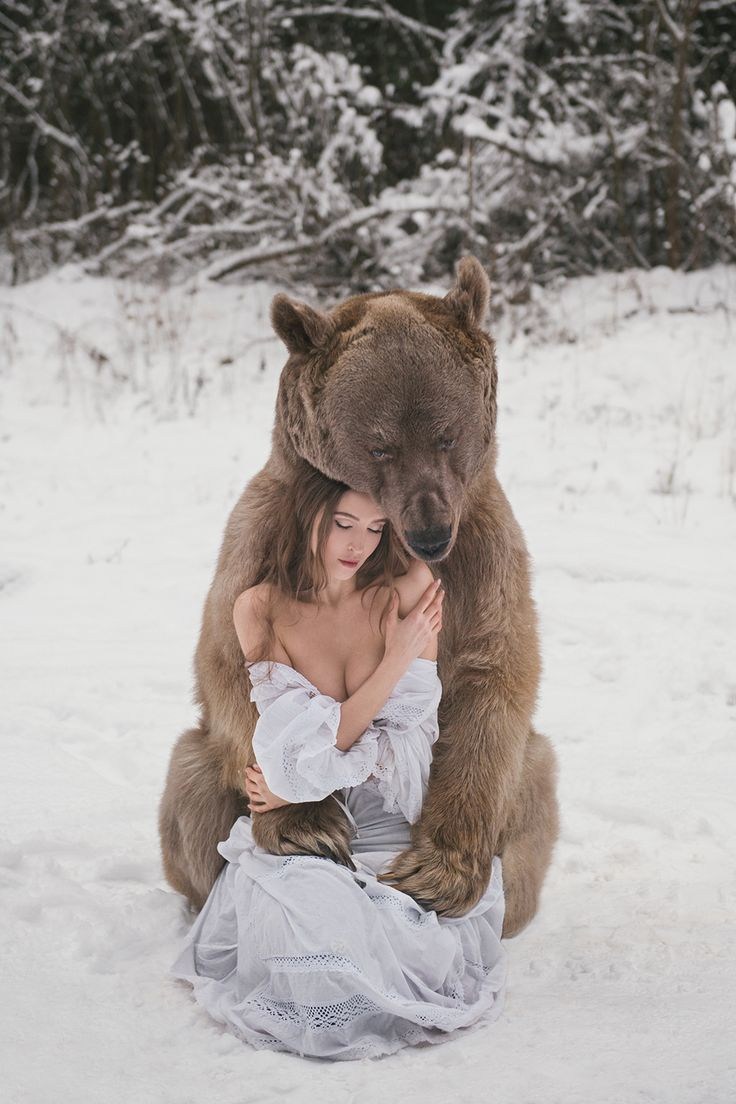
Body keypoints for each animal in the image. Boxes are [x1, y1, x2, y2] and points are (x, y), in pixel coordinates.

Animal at [158, 255, 559, 937]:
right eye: (380, 445)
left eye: (446, 435)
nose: (430, 531)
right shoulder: (260, 541)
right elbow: (233, 670)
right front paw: (308, 824)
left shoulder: (483, 559)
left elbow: (493, 676)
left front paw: (435, 872)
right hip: (201, 772)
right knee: (192, 783)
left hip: (528, 797)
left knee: (531, 785)